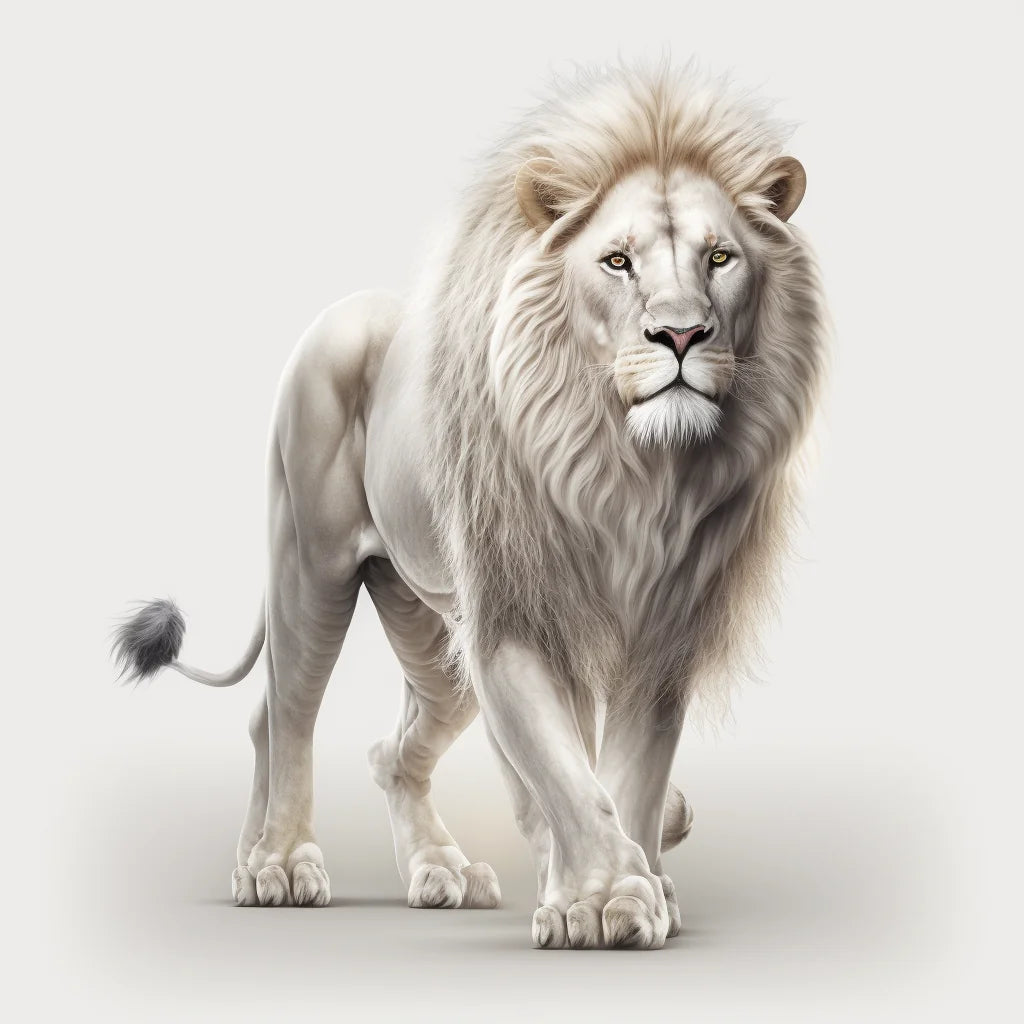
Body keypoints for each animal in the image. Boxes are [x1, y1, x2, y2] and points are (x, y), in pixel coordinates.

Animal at [113, 63, 826, 950]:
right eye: (617, 261)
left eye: (720, 257)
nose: (682, 335)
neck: (629, 470)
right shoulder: (516, 616)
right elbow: (565, 772)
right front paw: (599, 899)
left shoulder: (663, 628)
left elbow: (625, 773)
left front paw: (630, 888)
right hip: (313, 568)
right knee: (288, 714)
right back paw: (277, 863)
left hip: (434, 634)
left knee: (377, 749)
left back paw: (433, 870)